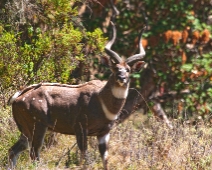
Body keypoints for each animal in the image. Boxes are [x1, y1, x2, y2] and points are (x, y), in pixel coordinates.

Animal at [7, 22, 146, 169]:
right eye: (115, 69)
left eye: (128, 70)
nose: (122, 78)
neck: (102, 101)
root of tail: (17, 98)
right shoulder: (80, 127)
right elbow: (83, 156)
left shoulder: (104, 132)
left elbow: (105, 159)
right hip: (38, 125)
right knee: (34, 153)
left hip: (26, 130)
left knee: (13, 150)